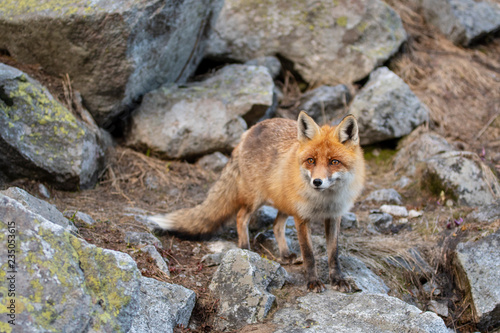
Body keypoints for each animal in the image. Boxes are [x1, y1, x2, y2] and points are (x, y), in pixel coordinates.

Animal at [150, 111, 366, 290]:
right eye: (311, 160)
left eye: (334, 162)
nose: (317, 182)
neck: (324, 201)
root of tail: (249, 131)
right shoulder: (302, 217)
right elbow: (309, 255)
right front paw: (312, 282)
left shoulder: (334, 216)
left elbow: (333, 254)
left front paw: (337, 280)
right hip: (256, 199)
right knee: (241, 217)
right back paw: (245, 248)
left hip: (284, 201)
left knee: (276, 226)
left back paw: (285, 254)